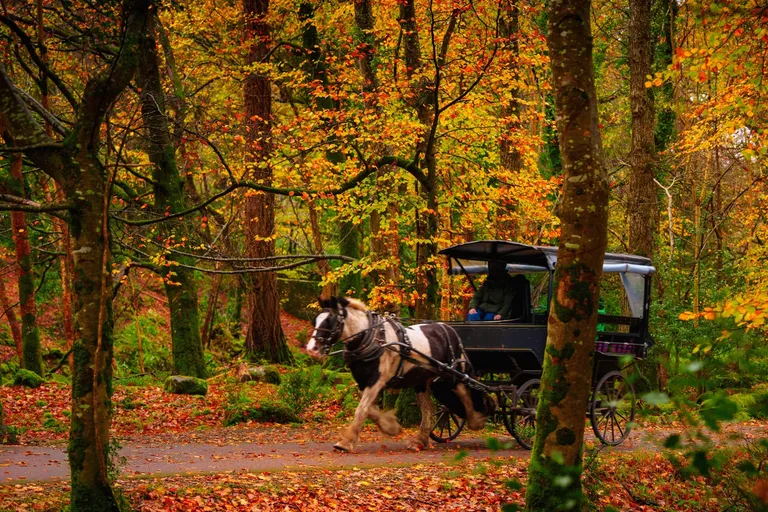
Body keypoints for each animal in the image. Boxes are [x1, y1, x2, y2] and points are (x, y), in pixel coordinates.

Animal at [305, 296, 490, 452]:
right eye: (316, 320)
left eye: (330, 322)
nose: (312, 348)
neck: (371, 338)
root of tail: (449, 328)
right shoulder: (363, 381)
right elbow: (369, 410)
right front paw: (390, 426)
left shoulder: (377, 380)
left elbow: (362, 409)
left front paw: (347, 442)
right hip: (422, 380)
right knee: (428, 408)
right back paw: (419, 440)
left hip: (454, 375)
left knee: (465, 395)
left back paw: (476, 420)